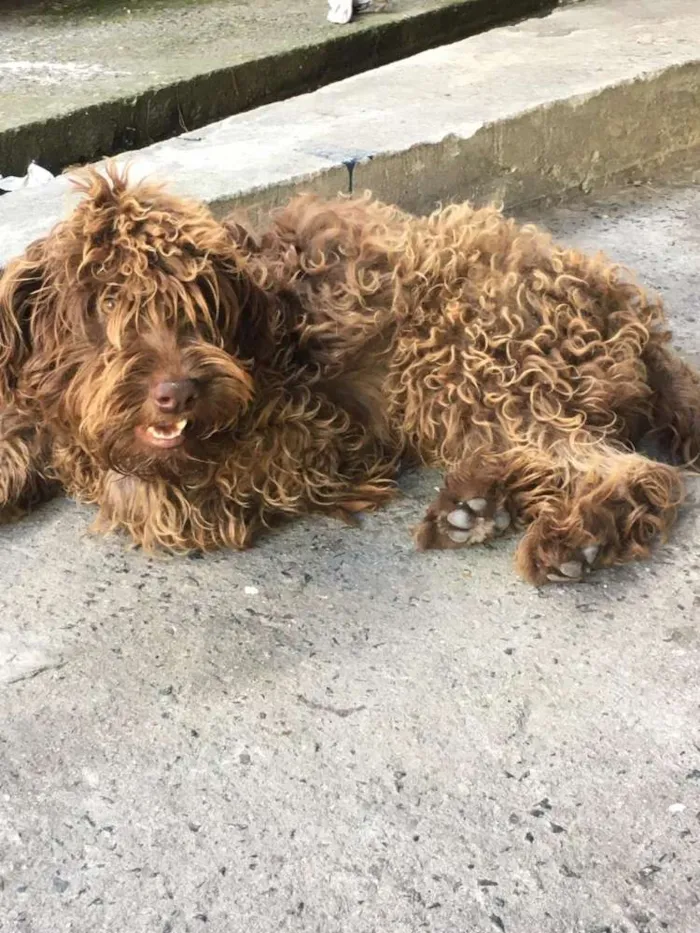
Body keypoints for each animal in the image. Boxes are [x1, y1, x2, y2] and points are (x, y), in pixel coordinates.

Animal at [1, 164, 700, 580]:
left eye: (196, 307)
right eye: (103, 307)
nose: (178, 393)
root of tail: (628, 305)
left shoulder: (307, 438)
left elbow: (146, 495)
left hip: (465, 352)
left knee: (624, 467)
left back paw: (575, 535)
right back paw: (478, 504)